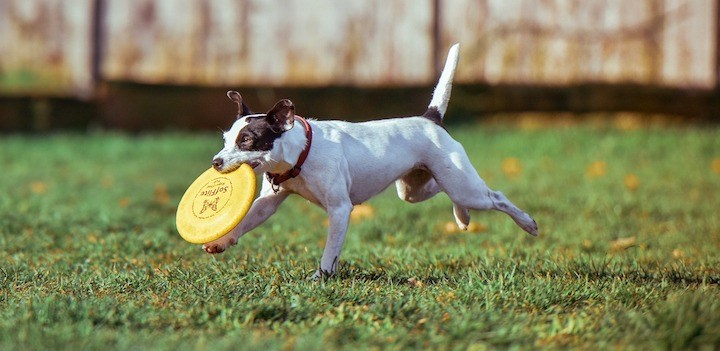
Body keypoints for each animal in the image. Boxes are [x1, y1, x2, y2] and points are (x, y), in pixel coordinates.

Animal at [202, 44, 536, 280]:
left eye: (247, 140)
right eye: (226, 139)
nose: (216, 162)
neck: (301, 154)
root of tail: (430, 119)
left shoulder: (340, 210)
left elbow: (330, 250)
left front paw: (321, 276)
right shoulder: (268, 202)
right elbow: (246, 220)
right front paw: (222, 241)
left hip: (465, 187)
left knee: (496, 197)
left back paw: (527, 223)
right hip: (415, 189)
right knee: (443, 192)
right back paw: (462, 217)